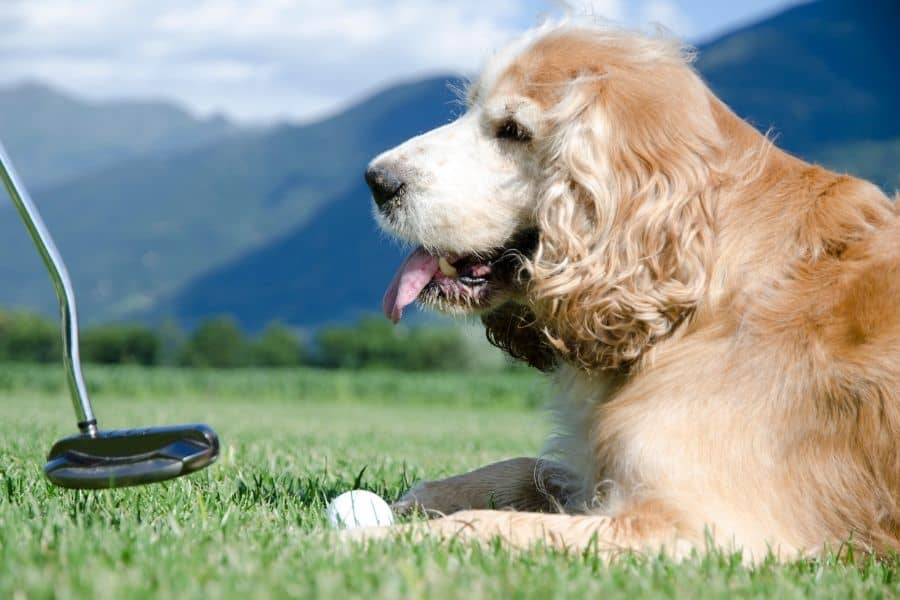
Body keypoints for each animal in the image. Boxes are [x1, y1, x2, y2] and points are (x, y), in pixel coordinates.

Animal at [362, 22, 896, 556]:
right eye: (470, 108)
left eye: (513, 130)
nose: (376, 180)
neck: (698, 293)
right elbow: (533, 468)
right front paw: (417, 498)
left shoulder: (705, 526)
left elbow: (485, 525)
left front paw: (357, 541)